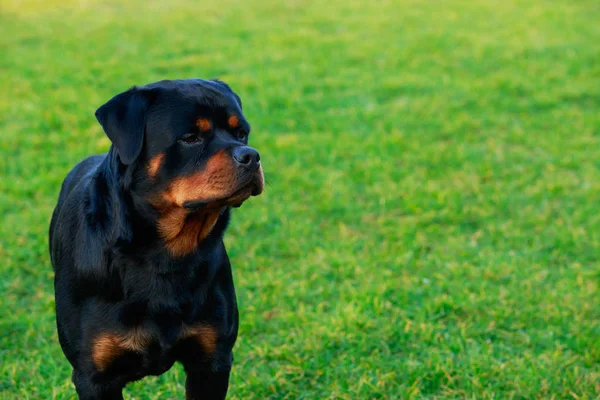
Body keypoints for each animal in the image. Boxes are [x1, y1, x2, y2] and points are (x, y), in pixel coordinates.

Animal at [47, 79, 262, 400]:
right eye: (190, 138)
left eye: (241, 133)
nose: (251, 155)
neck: (165, 255)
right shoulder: (94, 377)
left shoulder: (212, 361)